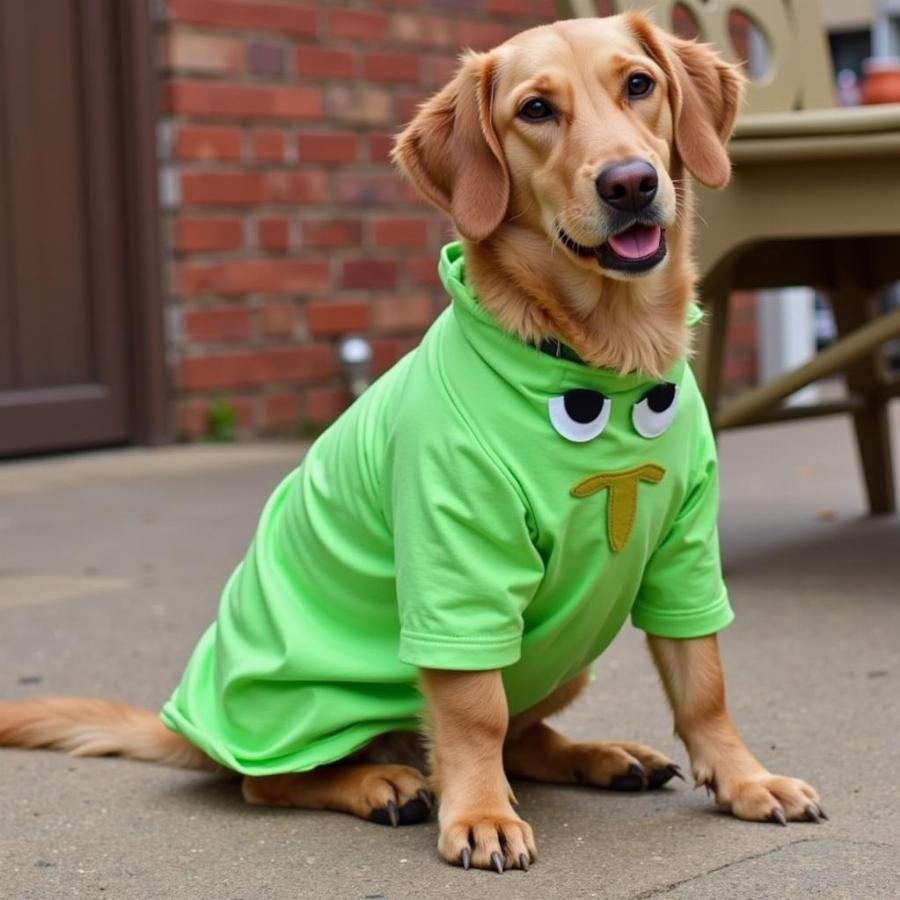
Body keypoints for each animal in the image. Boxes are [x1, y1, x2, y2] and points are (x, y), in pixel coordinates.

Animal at [0, 12, 824, 872]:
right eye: (536, 110)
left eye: (639, 84)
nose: (629, 183)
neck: (603, 365)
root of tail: (191, 728)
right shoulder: (455, 569)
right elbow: (473, 714)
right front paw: (482, 813)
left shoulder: (684, 553)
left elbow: (703, 684)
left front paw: (743, 778)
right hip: (311, 708)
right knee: (274, 782)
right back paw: (382, 782)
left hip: (566, 657)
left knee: (527, 734)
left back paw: (600, 756)